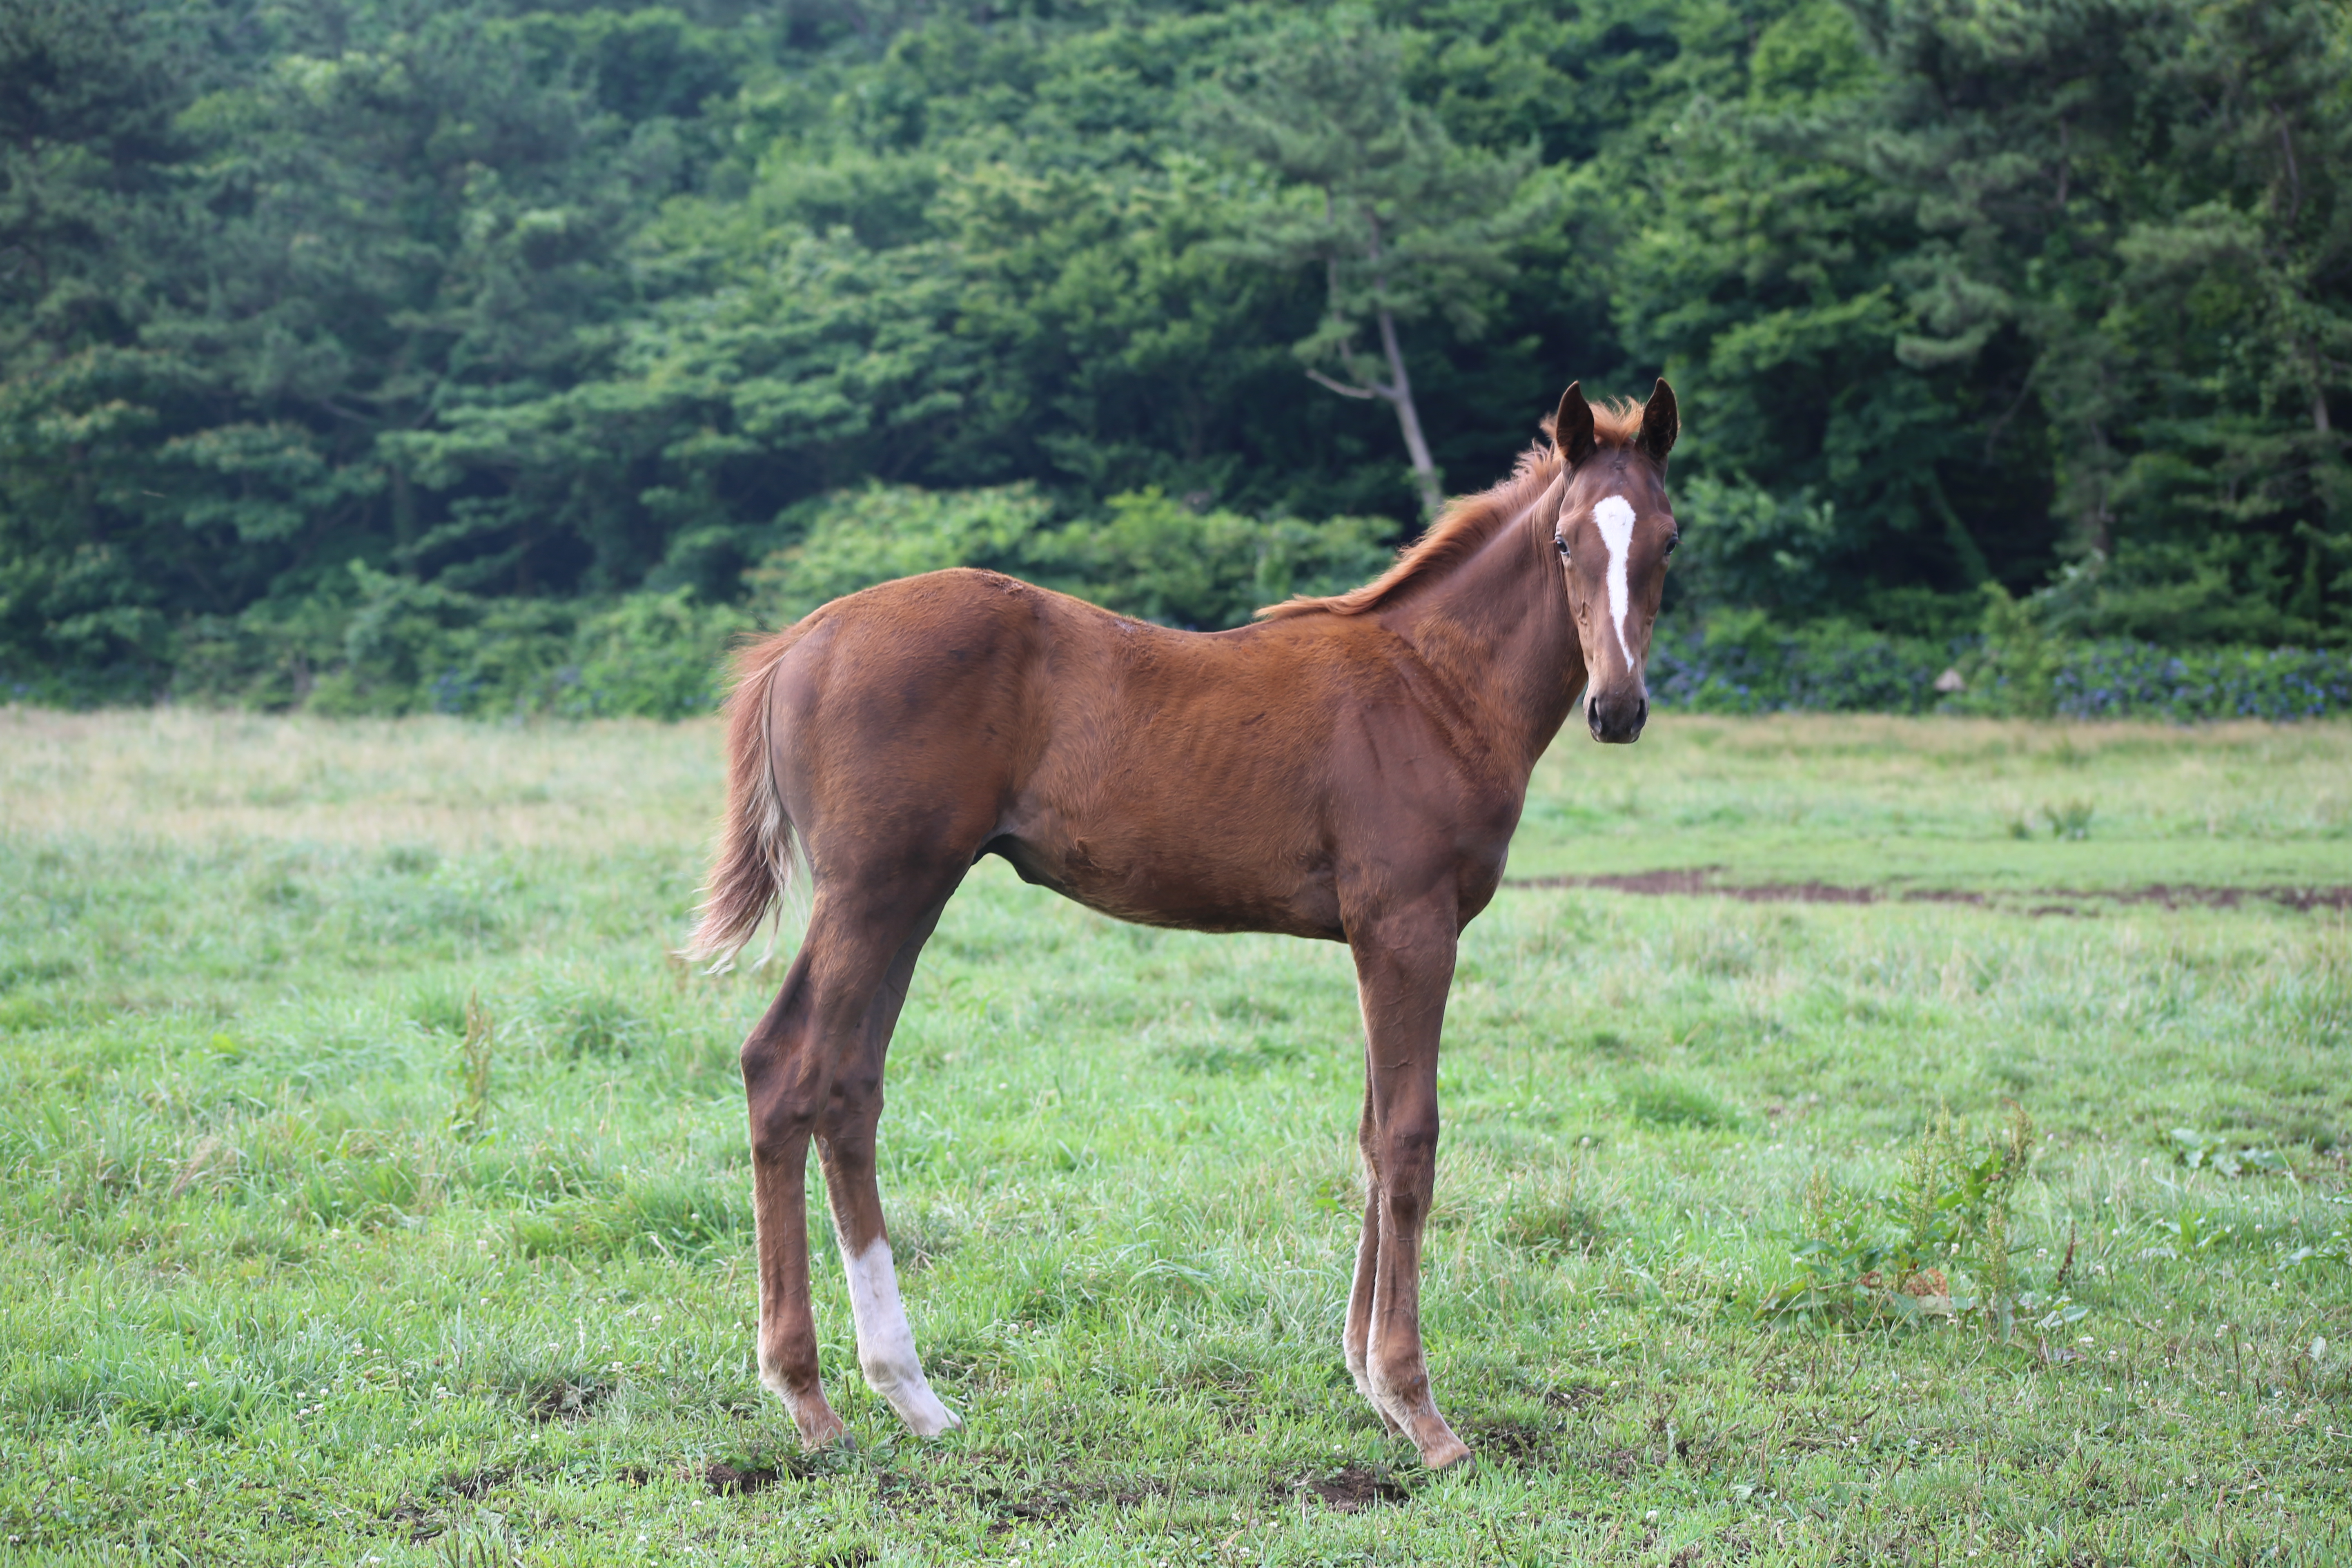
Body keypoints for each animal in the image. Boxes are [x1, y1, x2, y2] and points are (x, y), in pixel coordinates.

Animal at [686, 376, 1684, 1476]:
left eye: (1668, 540)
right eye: (1564, 541)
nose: (1618, 707)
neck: (1430, 687)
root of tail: (800, 642)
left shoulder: (1378, 937)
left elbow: (1372, 1135)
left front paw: (1364, 1378)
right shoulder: (1411, 927)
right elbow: (1411, 1138)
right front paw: (1418, 1408)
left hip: (907, 894)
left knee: (849, 1085)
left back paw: (911, 1396)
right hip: (876, 888)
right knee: (785, 1065)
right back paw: (810, 1399)